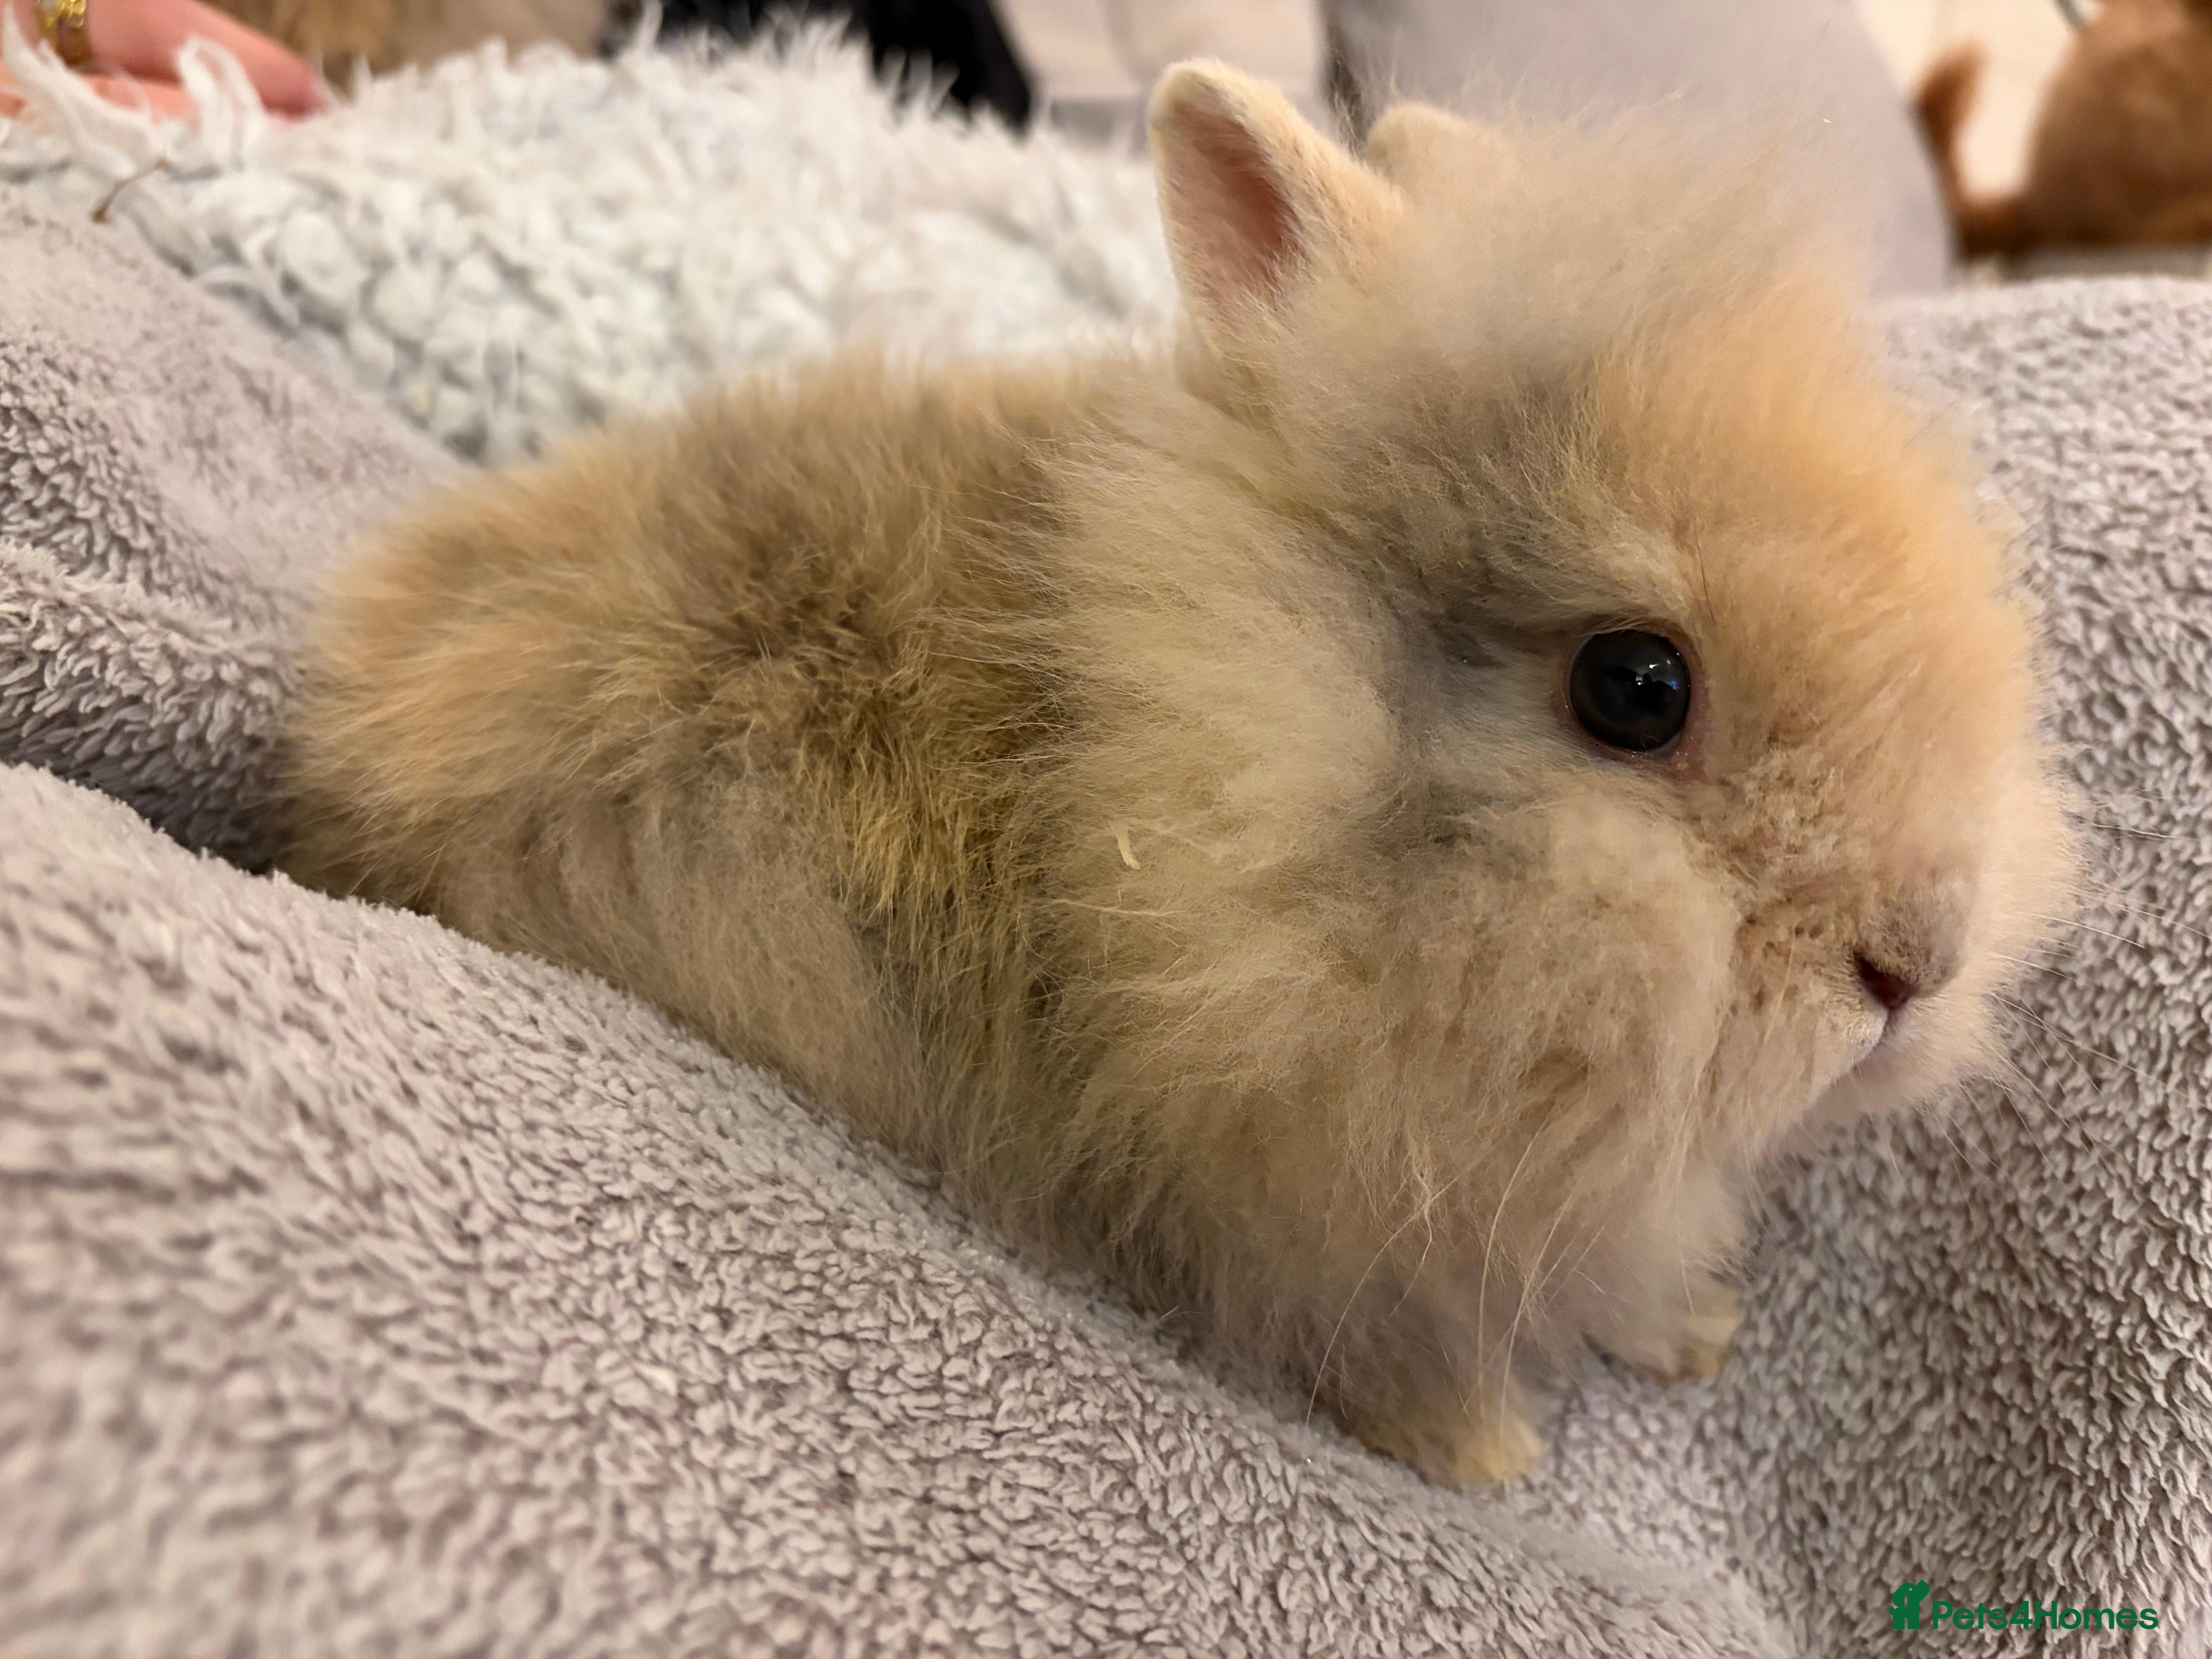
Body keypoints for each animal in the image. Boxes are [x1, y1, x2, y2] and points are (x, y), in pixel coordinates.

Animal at [282, 62, 2076, 1488]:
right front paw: (1487, 1459)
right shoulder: (1307, 1209)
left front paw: (1691, 1332)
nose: (1914, 967)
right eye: (1635, 689)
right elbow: (1387, 1346)